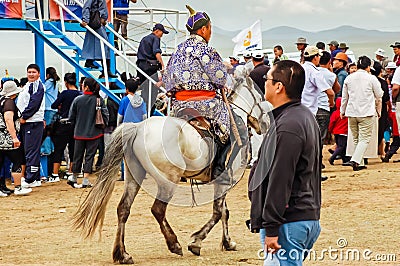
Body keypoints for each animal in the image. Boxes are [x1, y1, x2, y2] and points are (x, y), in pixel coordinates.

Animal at [72, 77, 272, 264]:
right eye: (261, 97)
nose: (267, 124)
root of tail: (138, 128)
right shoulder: (224, 180)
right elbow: (218, 212)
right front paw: (196, 242)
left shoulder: (222, 182)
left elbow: (224, 212)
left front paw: (228, 242)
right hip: (169, 179)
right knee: (158, 210)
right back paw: (174, 244)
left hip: (134, 176)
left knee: (123, 209)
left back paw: (122, 254)